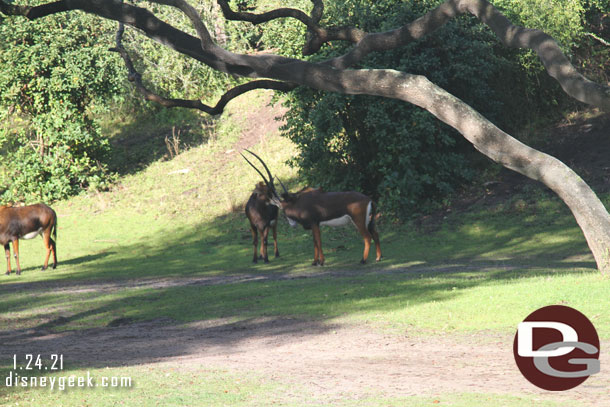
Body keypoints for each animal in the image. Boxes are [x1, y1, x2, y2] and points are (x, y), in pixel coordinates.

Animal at [241, 150, 380, 268]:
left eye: (270, 192)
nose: (274, 203)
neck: (298, 202)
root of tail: (369, 199)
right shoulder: (315, 225)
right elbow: (314, 242)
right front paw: (314, 262)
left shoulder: (314, 223)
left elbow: (318, 241)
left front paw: (321, 262)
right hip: (369, 221)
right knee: (375, 234)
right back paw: (378, 258)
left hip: (358, 221)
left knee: (367, 237)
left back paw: (363, 260)